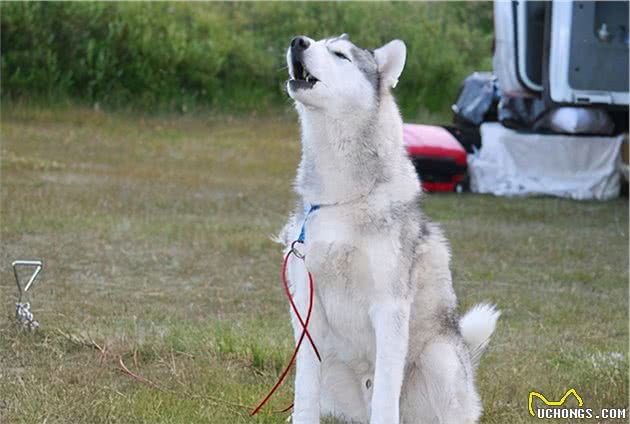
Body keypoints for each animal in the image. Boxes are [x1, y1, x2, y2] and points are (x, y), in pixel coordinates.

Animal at [278, 34, 502, 424]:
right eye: (315, 40)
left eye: (340, 54)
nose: (297, 41)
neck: (340, 198)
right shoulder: (306, 309)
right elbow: (304, 389)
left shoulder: (389, 306)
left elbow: (385, 391)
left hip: (440, 359)